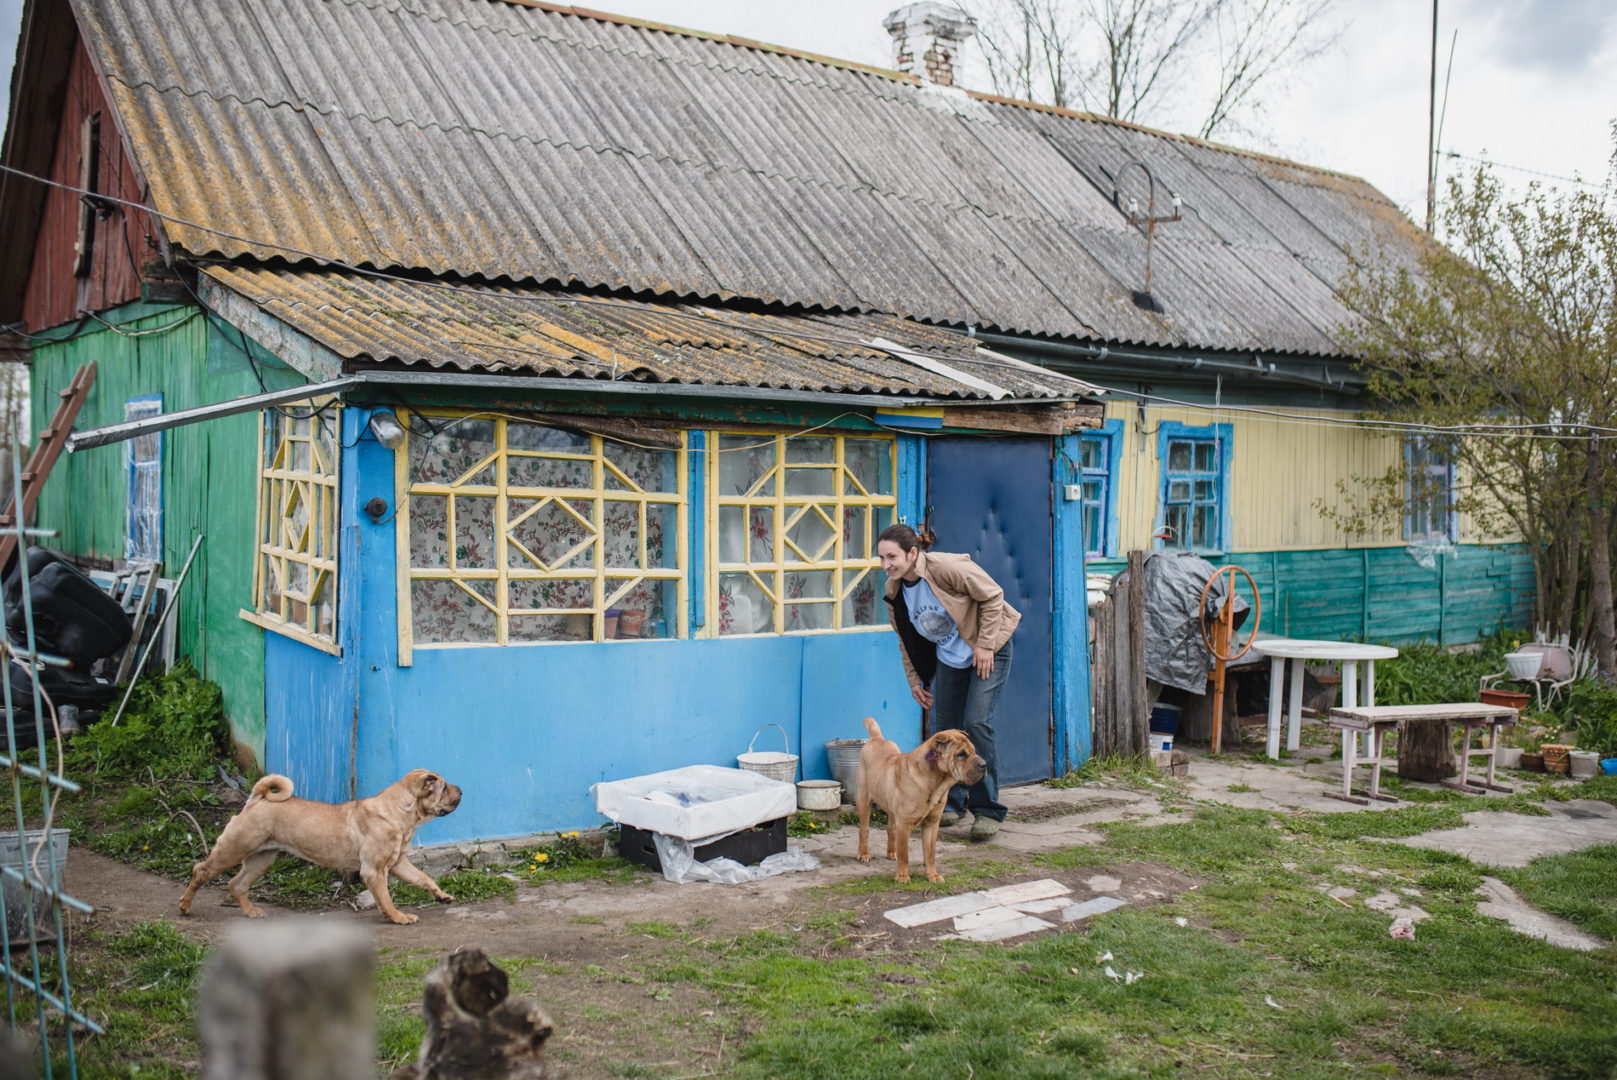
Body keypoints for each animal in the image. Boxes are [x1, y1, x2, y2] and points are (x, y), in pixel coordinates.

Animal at [181, 766, 465, 931]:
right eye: (443, 787)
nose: (462, 790)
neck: (401, 812)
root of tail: (257, 798)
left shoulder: (397, 864)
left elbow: (424, 878)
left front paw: (441, 896)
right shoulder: (374, 871)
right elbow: (385, 897)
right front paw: (397, 916)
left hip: (261, 859)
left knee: (236, 884)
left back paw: (251, 912)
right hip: (234, 848)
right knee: (201, 871)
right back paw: (185, 907)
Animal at [860, 711, 983, 879]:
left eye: (974, 750)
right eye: (961, 755)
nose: (984, 765)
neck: (936, 783)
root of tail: (877, 738)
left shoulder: (932, 823)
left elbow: (930, 852)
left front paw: (933, 875)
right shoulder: (904, 823)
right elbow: (905, 854)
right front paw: (902, 877)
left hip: (891, 809)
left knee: (891, 830)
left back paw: (892, 852)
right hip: (864, 800)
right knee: (864, 830)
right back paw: (864, 854)